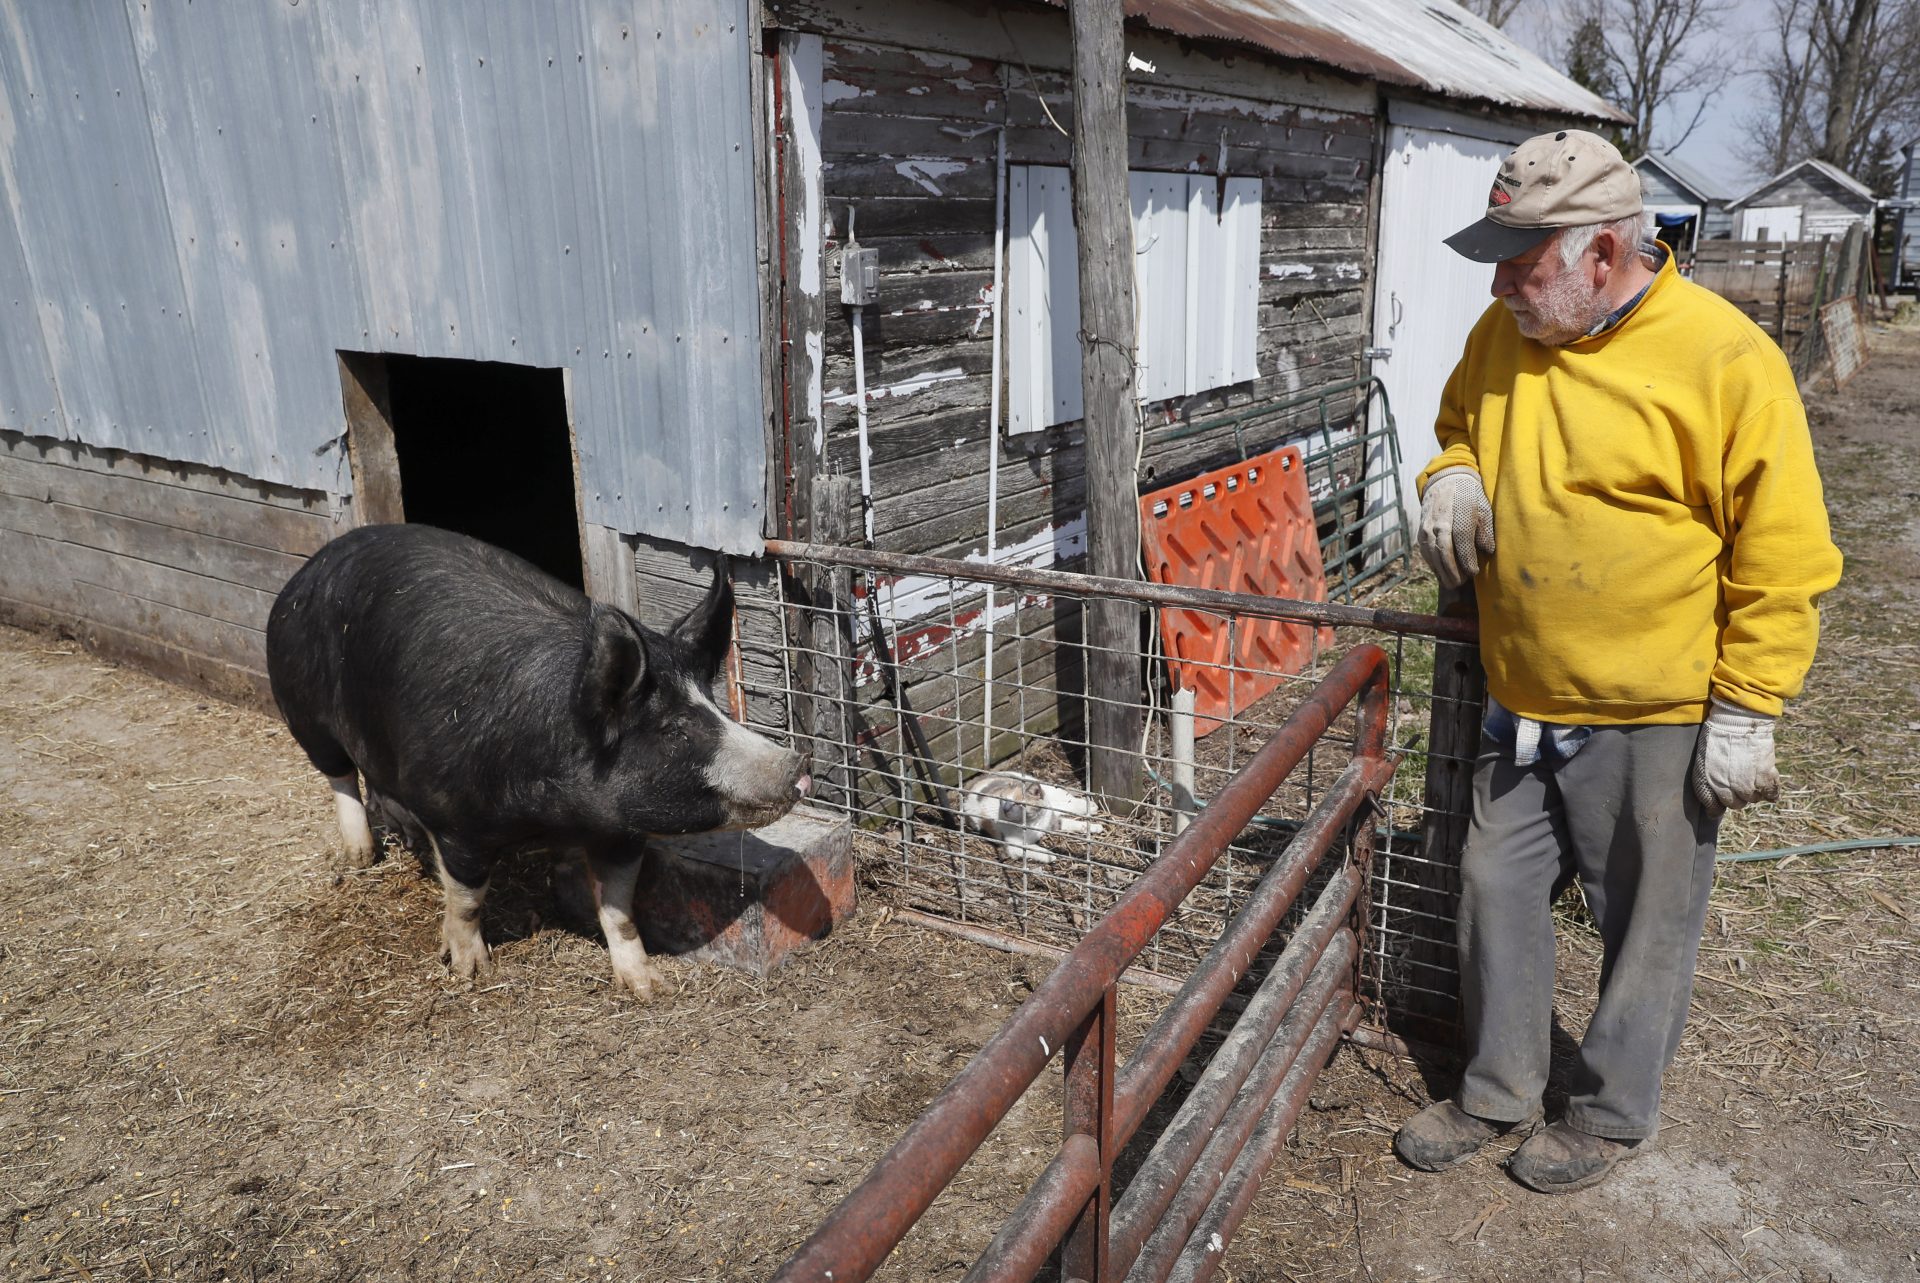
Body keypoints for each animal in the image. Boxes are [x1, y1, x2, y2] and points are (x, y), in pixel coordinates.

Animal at [266, 522, 806, 998]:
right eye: (674, 730)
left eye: (716, 707)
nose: (798, 765)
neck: (554, 815)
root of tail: (310, 568)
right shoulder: (455, 817)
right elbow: (467, 898)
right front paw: (469, 971)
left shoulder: (620, 831)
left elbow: (620, 911)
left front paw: (650, 988)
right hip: (303, 711)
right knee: (339, 776)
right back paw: (360, 857)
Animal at [960, 768, 1113, 868]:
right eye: (1002, 800)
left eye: (1018, 804)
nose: (1005, 809)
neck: (1034, 822)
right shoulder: (1014, 846)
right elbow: (1035, 849)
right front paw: (1050, 855)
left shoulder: (1051, 821)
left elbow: (1072, 823)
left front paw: (1093, 827)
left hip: (1046, 788)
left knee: (1063, 801)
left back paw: (1089, 806)